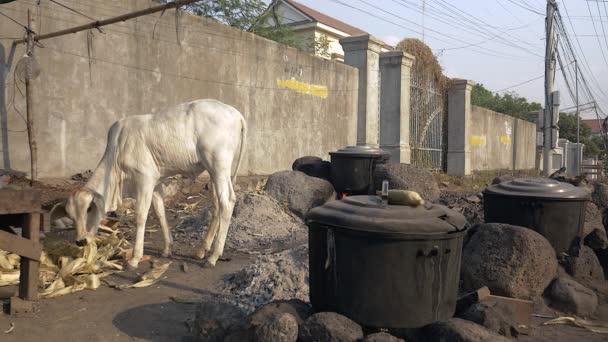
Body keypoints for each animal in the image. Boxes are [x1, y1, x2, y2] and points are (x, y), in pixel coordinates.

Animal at [60, 97, 246, 268]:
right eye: (71, 215)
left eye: (89, 208)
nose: (80, 241)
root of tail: (235, 113)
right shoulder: (155, 183)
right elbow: (160, 212)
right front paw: (167, 249)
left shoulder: (145, 179)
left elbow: (141, 216)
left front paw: (135, 258)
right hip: (214, 171)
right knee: (217, 205)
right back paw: (202, 250)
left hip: (218, 166)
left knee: (227, 202)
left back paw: (213, 256)